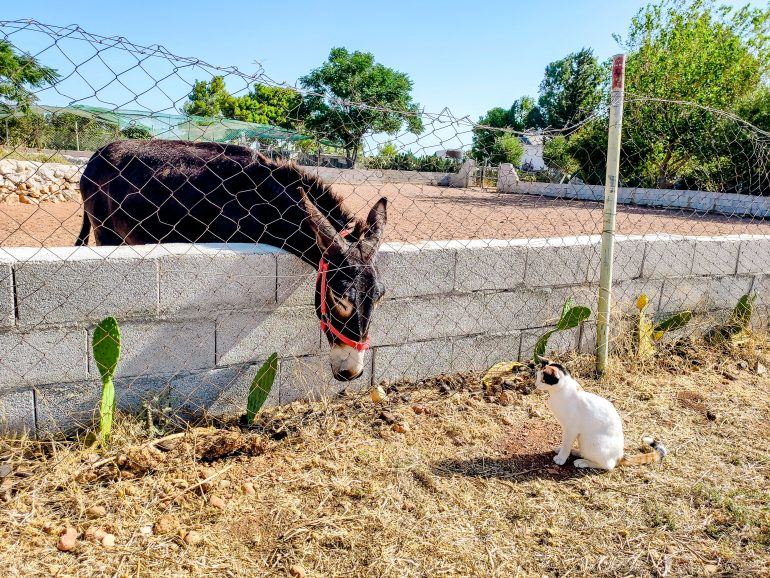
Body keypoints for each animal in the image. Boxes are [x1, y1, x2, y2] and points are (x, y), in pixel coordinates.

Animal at [536, 360, 664, 468]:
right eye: (537, 377)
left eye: (542, 380)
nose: (536, 384)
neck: (559, 392)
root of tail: (620, 456)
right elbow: (566, 444)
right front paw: (563, 452)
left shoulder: (570, 430)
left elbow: (566, 444)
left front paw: (561, 458)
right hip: (582, 439)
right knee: (585, 453)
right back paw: (575, 452)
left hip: (589, 440)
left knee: (607, 466)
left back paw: (582, 462)